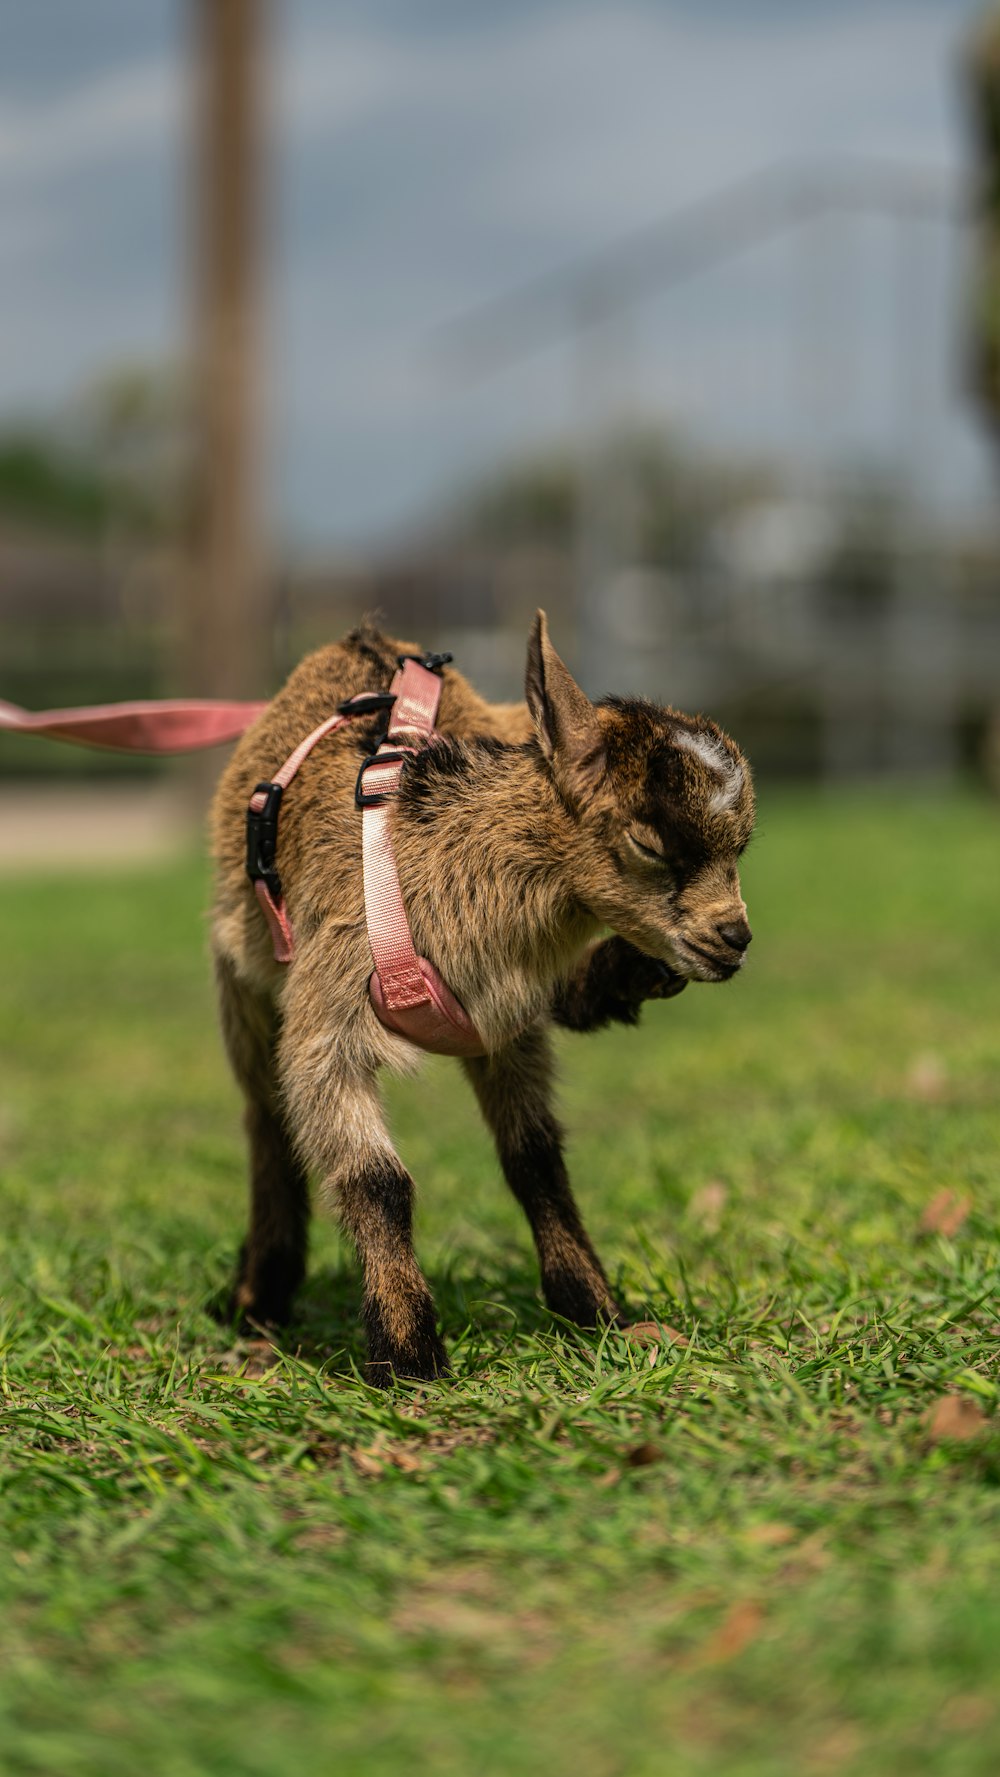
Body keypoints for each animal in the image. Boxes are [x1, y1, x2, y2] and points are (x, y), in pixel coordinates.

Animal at [213, 618, 760, 1378]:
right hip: (242, 982)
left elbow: (535, 1157)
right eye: (649, 841)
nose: (734, 938)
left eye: (742, 846)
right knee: (266, 1120)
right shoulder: (328, 1012)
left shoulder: (503, 1022)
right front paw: (408, 1356)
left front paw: (597, 1311)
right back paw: (257, 1296)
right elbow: (376, 1179)